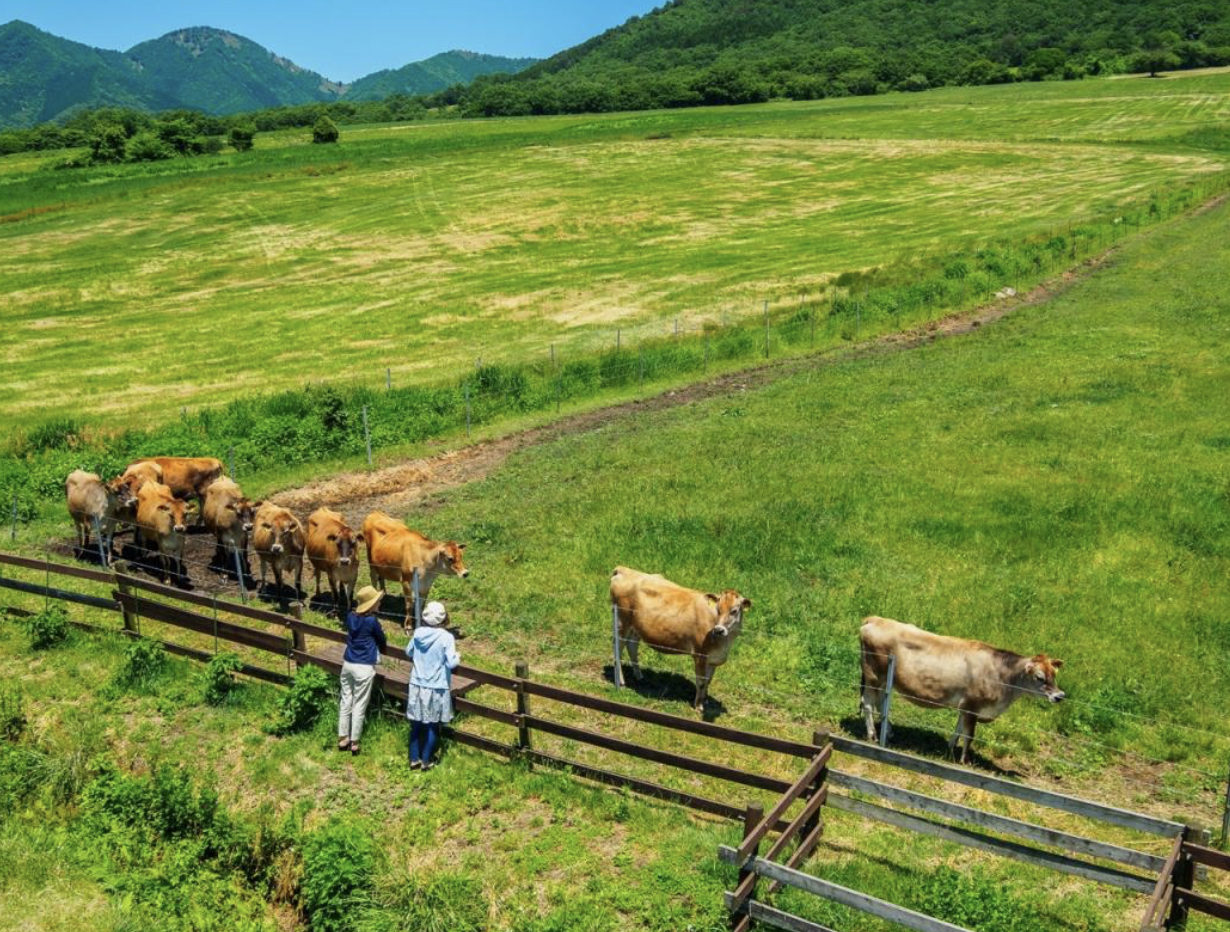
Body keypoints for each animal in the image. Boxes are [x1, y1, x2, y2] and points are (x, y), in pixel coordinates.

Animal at [612, 570, 752, 713]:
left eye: (734, 611)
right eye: (717, 609)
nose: (719, 630)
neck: (725, 644)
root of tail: (624, 569)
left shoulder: (714, 659)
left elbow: (708, 680)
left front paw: (705, 700)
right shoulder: (700, 655)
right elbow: (701, 681)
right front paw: (698, 706)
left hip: (636, 628)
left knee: (632, 645)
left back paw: (639, 675)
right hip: (622, 622)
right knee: (618, 649)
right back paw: (621, 682)